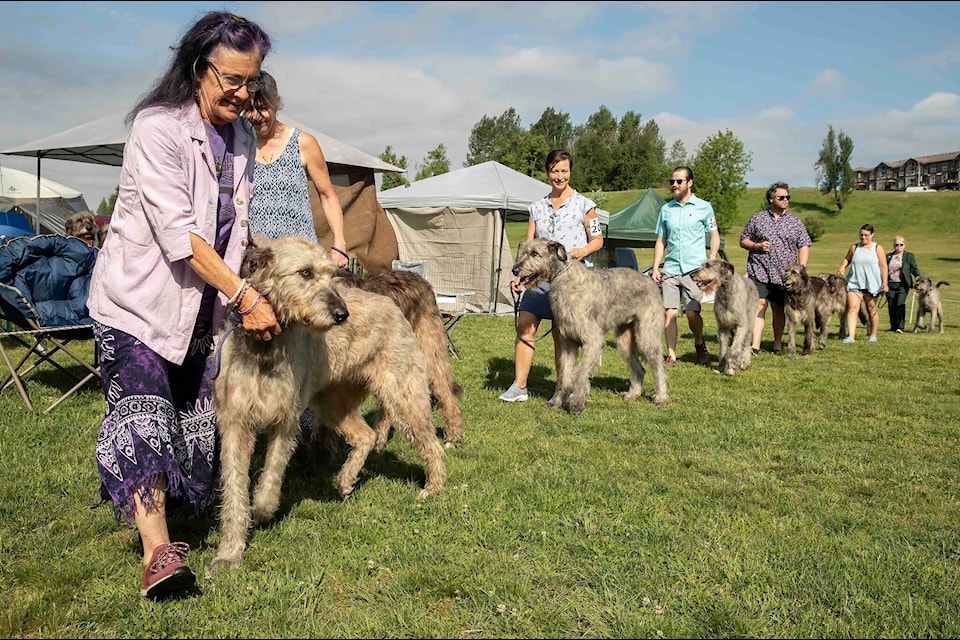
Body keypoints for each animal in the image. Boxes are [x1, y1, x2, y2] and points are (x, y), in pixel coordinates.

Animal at [212, 238, 444, 572]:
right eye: (305, 272)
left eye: (332, 275)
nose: (341, 314)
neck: (266, 348)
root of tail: (389, 302)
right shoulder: (235, 423)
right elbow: (233, 488)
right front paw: (229, 552)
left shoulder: (286, 421)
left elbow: (271, 476)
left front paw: (262, 509)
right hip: (334, 403)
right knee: (366, 436)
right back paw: (347, 479)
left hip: (404, 395)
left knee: (431, 444)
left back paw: (433, 486)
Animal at [510, 238, 668, 412]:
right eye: (523, 252)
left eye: (534, 253)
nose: (514, 270)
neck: (564, 278)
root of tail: (652, 281)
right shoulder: (568, 341)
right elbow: (565, 375)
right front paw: (557, 401)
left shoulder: (592, 340)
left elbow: (579, 372)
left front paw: (576, 402)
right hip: (624, 340)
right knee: (640, 369)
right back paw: (633, 394)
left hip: (647, 335)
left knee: (658, 368)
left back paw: (661, 397)